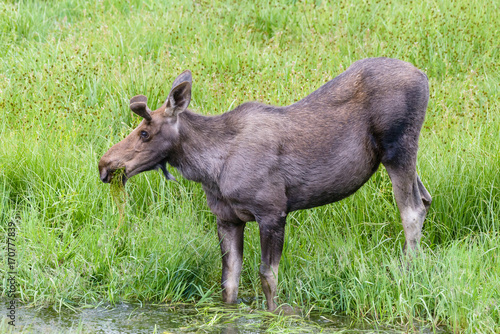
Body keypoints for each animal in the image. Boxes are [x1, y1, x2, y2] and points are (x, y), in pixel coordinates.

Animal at [99, 56, 432, 310]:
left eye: (144, 133)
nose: (105, 165)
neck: (211, 168)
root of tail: (424, 77)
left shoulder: (272, 210)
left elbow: (267, 277)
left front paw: (273, 314)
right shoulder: (227, 218)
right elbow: (229, 281)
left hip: (398, 148)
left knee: (411, 210)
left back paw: (406, 273)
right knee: (426, 198)